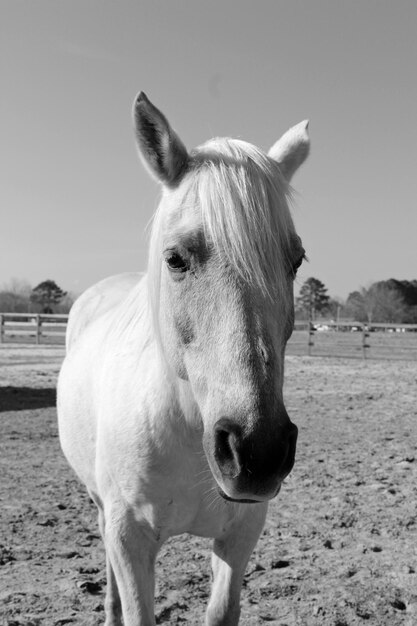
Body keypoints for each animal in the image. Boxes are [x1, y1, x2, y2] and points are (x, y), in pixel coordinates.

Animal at [56, 90, 308, 620]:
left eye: (295, 261)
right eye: (175, 259)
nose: (258, 451)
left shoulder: (240, 534)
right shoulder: (130, 537)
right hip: (100, 504)